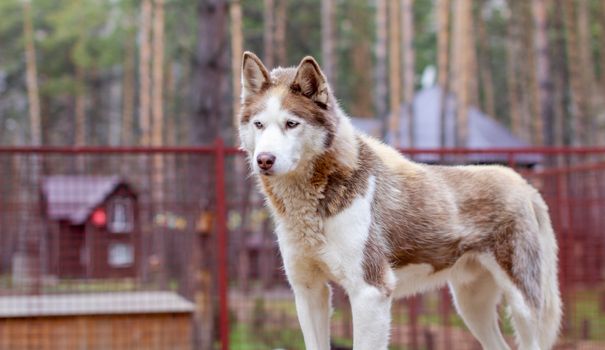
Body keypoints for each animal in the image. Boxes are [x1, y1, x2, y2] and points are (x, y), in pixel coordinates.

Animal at [236, 52, 560, 350]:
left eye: (291, 123)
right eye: (259, 124)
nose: (264, 160)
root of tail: (524, 185)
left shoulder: (370, 292)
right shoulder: (308, 291)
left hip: (522, 307)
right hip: (471, 305)